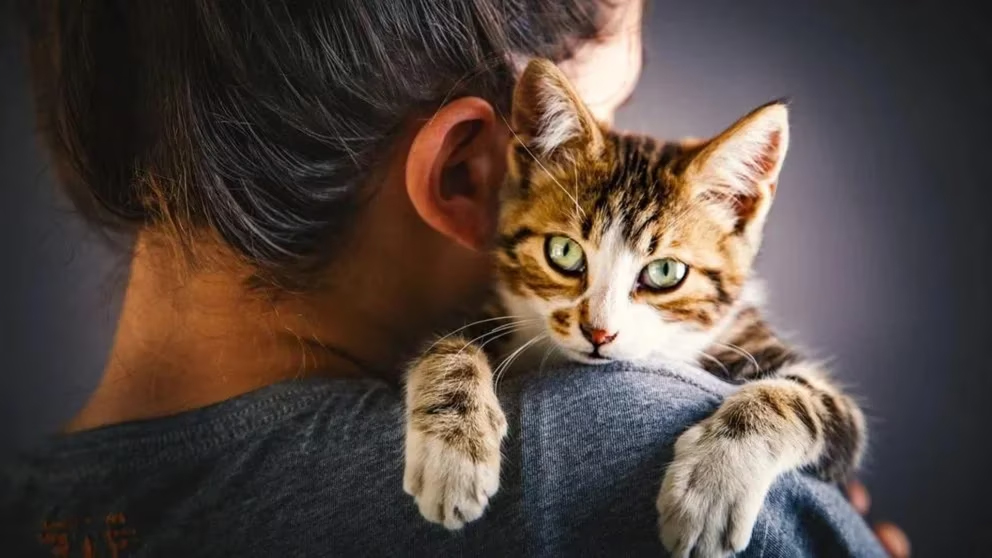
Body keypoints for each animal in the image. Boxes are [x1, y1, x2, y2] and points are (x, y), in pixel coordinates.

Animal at [400, 58, 864, 558]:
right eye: (564, 252)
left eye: (665, 272)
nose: (599, 333)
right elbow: (452, 342)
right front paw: (452, 451)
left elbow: (800, 399)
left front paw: (710, 485)